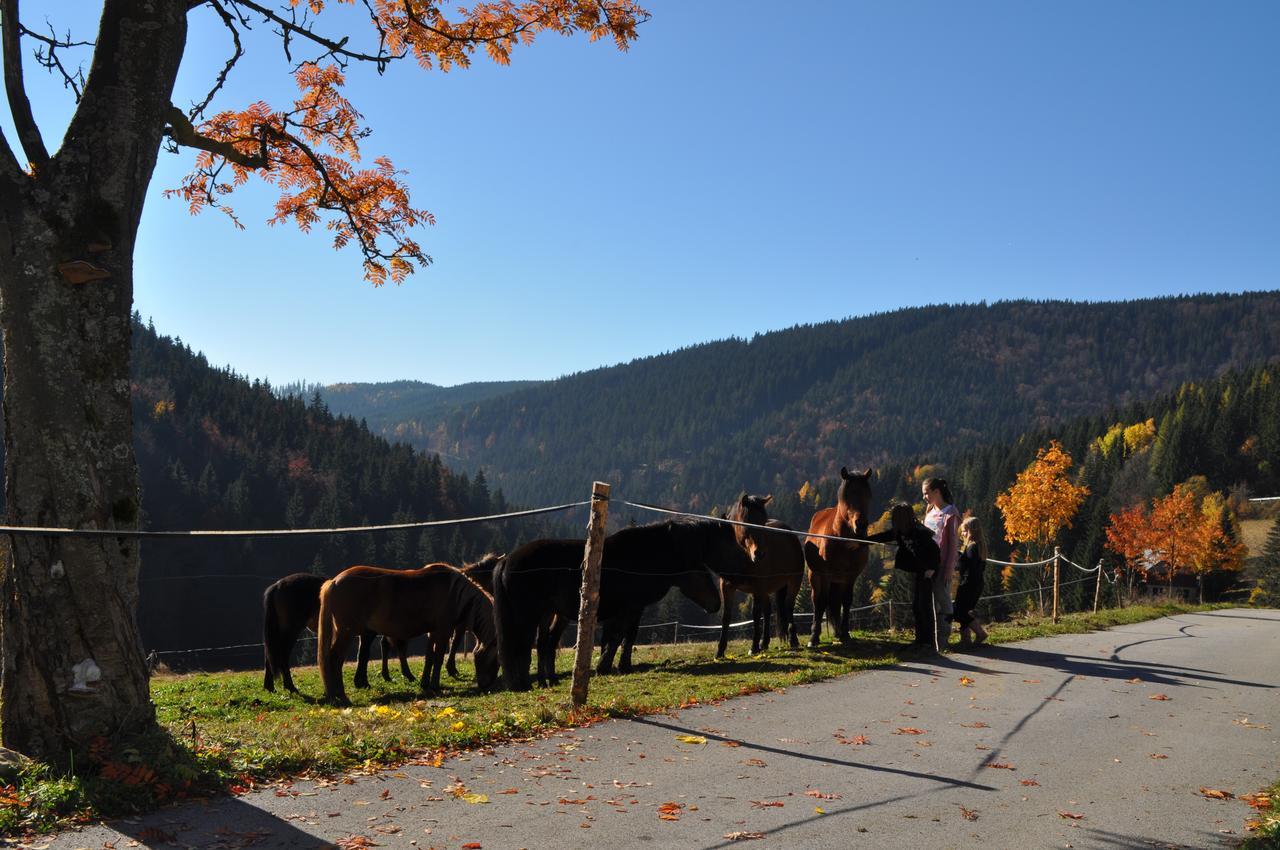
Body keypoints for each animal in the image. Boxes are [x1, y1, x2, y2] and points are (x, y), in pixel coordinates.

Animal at [264, 570, 409, 691]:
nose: (408, 675)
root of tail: (277, 585)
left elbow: (366, 653)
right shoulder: (368, 633)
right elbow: (365, 655)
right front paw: (363, 682)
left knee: (271, 655)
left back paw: (270, 687)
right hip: (291, 631)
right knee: (281, 655)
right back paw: (290, 686)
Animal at [316, 563, 499, 701]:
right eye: (496, 660)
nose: (488, 685)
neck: (455, 592)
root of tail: (334, 581)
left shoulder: (433, 632)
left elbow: (429, 657)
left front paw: (425, 683)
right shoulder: (443, 630)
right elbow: (438, 657)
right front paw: (435, 685)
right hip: (346, 633)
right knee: (334, 660)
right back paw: (340, 695)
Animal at [494, 517, 747, 691]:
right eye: (701, 573)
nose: (716, 604)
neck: (644, 557)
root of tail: (507, 560)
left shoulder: (635, 609)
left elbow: (627, 637)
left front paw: (622, 665)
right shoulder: (628, 608)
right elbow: (617, 636)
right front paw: (604, 666)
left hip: (549, 614)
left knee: (543, 643)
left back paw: (547, 680)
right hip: (528, 615)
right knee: (523, 645)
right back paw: (526, 683)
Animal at [716, 491, 803, 655]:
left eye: (763, 522)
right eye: (747, 521)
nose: (760, 554)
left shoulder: (757, 586)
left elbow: (755, 614)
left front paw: (754, 647)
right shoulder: (727, 586)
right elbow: (726, 616)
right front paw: (720, 651)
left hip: (794, 581)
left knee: (788, 606)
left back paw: (793, 639)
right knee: (768, 610)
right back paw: (765, 642)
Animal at [803, 465, 875, 645]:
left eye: (868, 495)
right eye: (847, 495)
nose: (861, 525)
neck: (842, 540)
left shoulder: (850, 577)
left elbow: (846, 602)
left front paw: (845, 634)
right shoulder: (825, 575)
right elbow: (821, 602)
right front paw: (814, 637)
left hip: (837, 581)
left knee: (835, 602)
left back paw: (837, 632)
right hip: (815, 575)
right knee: (818, 601)